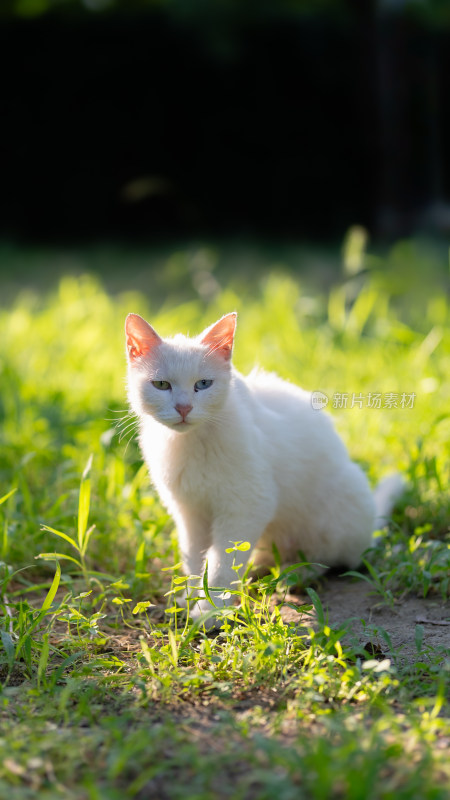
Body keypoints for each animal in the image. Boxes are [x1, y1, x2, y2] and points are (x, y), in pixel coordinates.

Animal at [125, 310, 402, 620]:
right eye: (161, 385)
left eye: (203, 384)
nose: (184, 408)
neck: (191, 443)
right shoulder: (189, 511)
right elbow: (195, 558)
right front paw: (193, 597)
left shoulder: (247, 504)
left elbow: (222, 562)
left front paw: (210, 610)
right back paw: (261, 568)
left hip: (336, 512)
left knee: (333, 559)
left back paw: (295, 574)